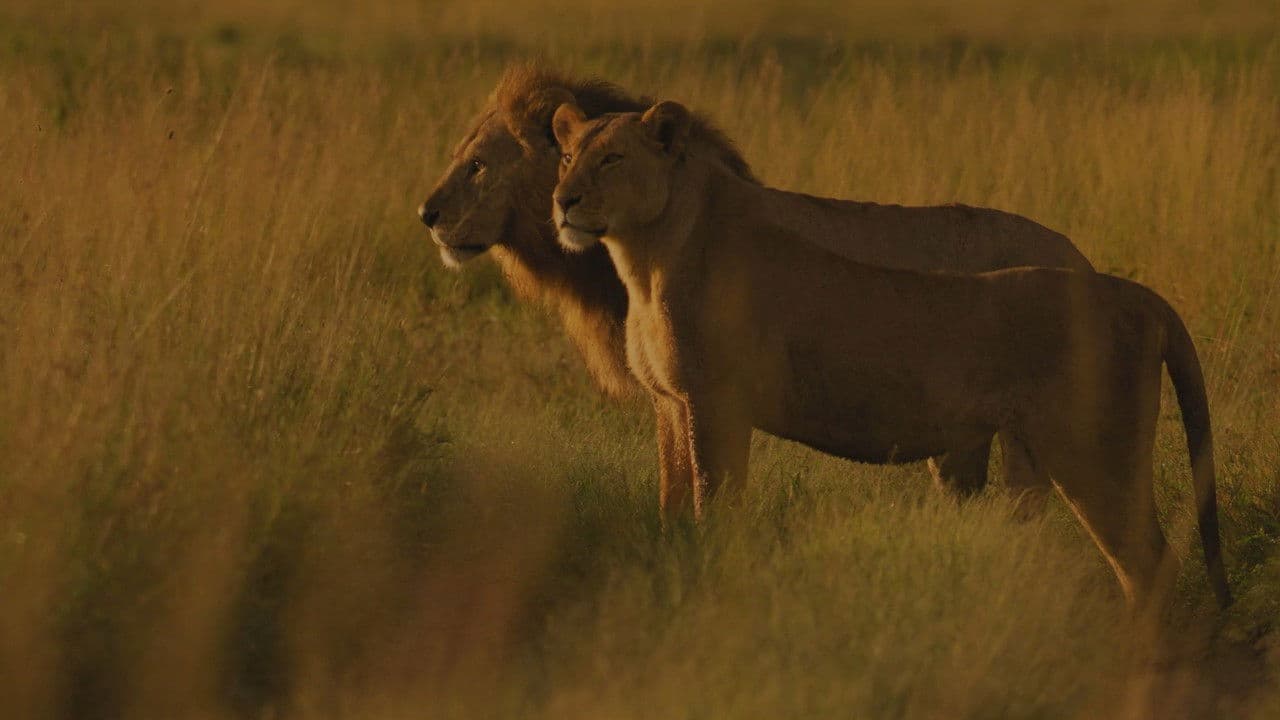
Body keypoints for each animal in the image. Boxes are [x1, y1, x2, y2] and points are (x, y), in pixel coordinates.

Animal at [549, 99, 1231, 611]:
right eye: (566, 157)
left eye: (612, 159)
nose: (564, 201)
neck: (647, 254)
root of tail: (1135, 294)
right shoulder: (671, 403)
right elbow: (671, 506)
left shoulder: (716, 404)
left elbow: (714, 507)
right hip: (1036, 450)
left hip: (1093, 451)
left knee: (1149, 564)